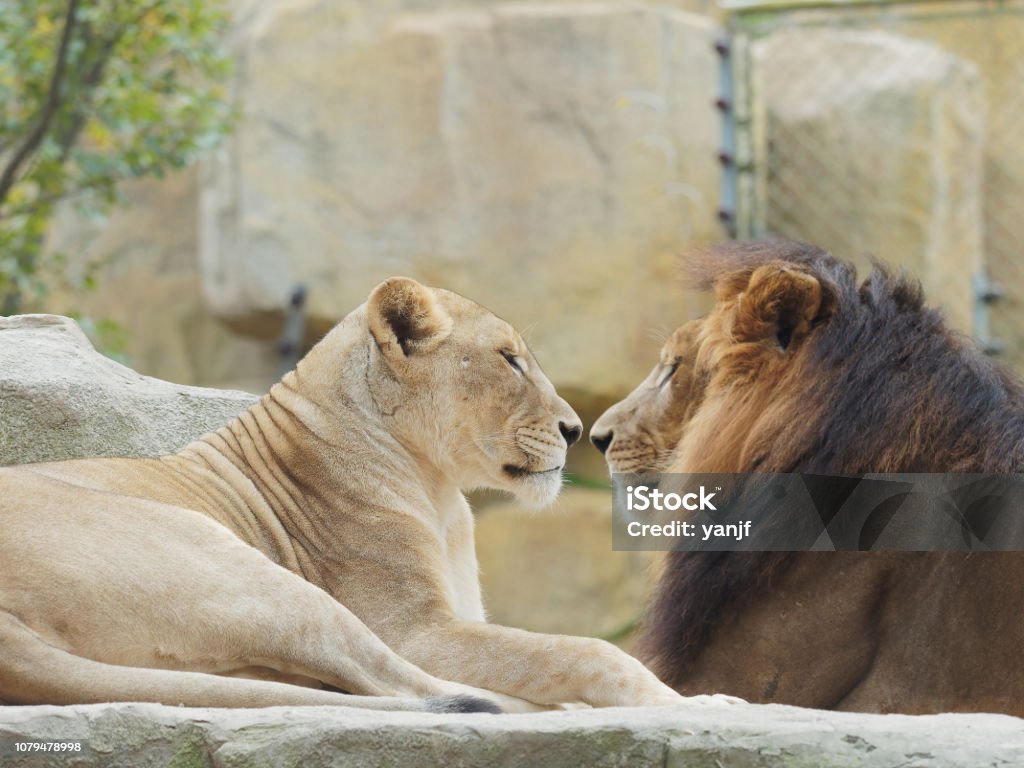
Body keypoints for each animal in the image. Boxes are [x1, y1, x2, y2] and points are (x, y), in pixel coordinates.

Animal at [4, 276, 688, 716]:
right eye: (509, 359)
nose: (576, 430)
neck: (441, 493)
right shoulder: (417, 628)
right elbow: (582, 651)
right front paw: (676, 702)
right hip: (248, 573)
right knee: (405, 686)